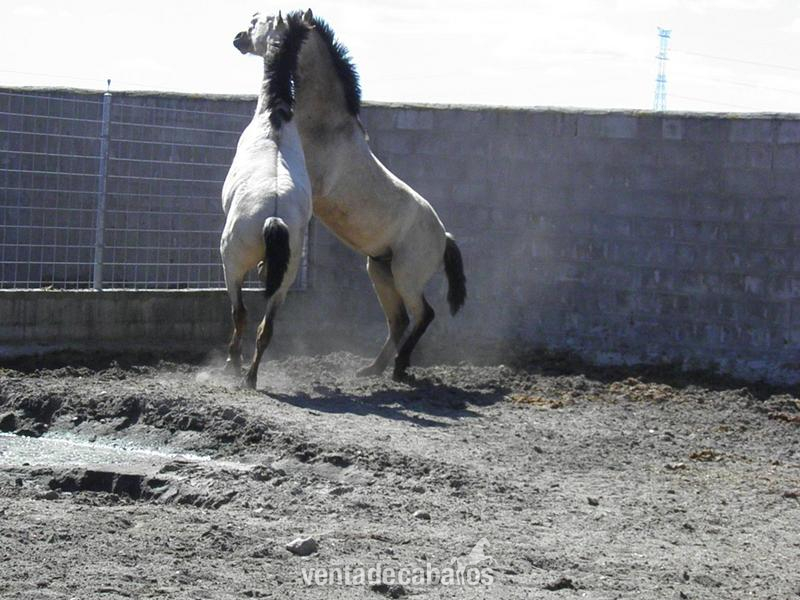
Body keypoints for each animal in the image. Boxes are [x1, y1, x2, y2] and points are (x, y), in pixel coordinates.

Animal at [240, 10, 467, 382]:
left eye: (271, 21)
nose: (239, 39)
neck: (324, 128)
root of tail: (443, 236)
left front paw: (263, 266)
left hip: (406, 276)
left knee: (423, 315)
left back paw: (400, 368)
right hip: (380, 271)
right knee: (400, 320)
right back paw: (373, 369)